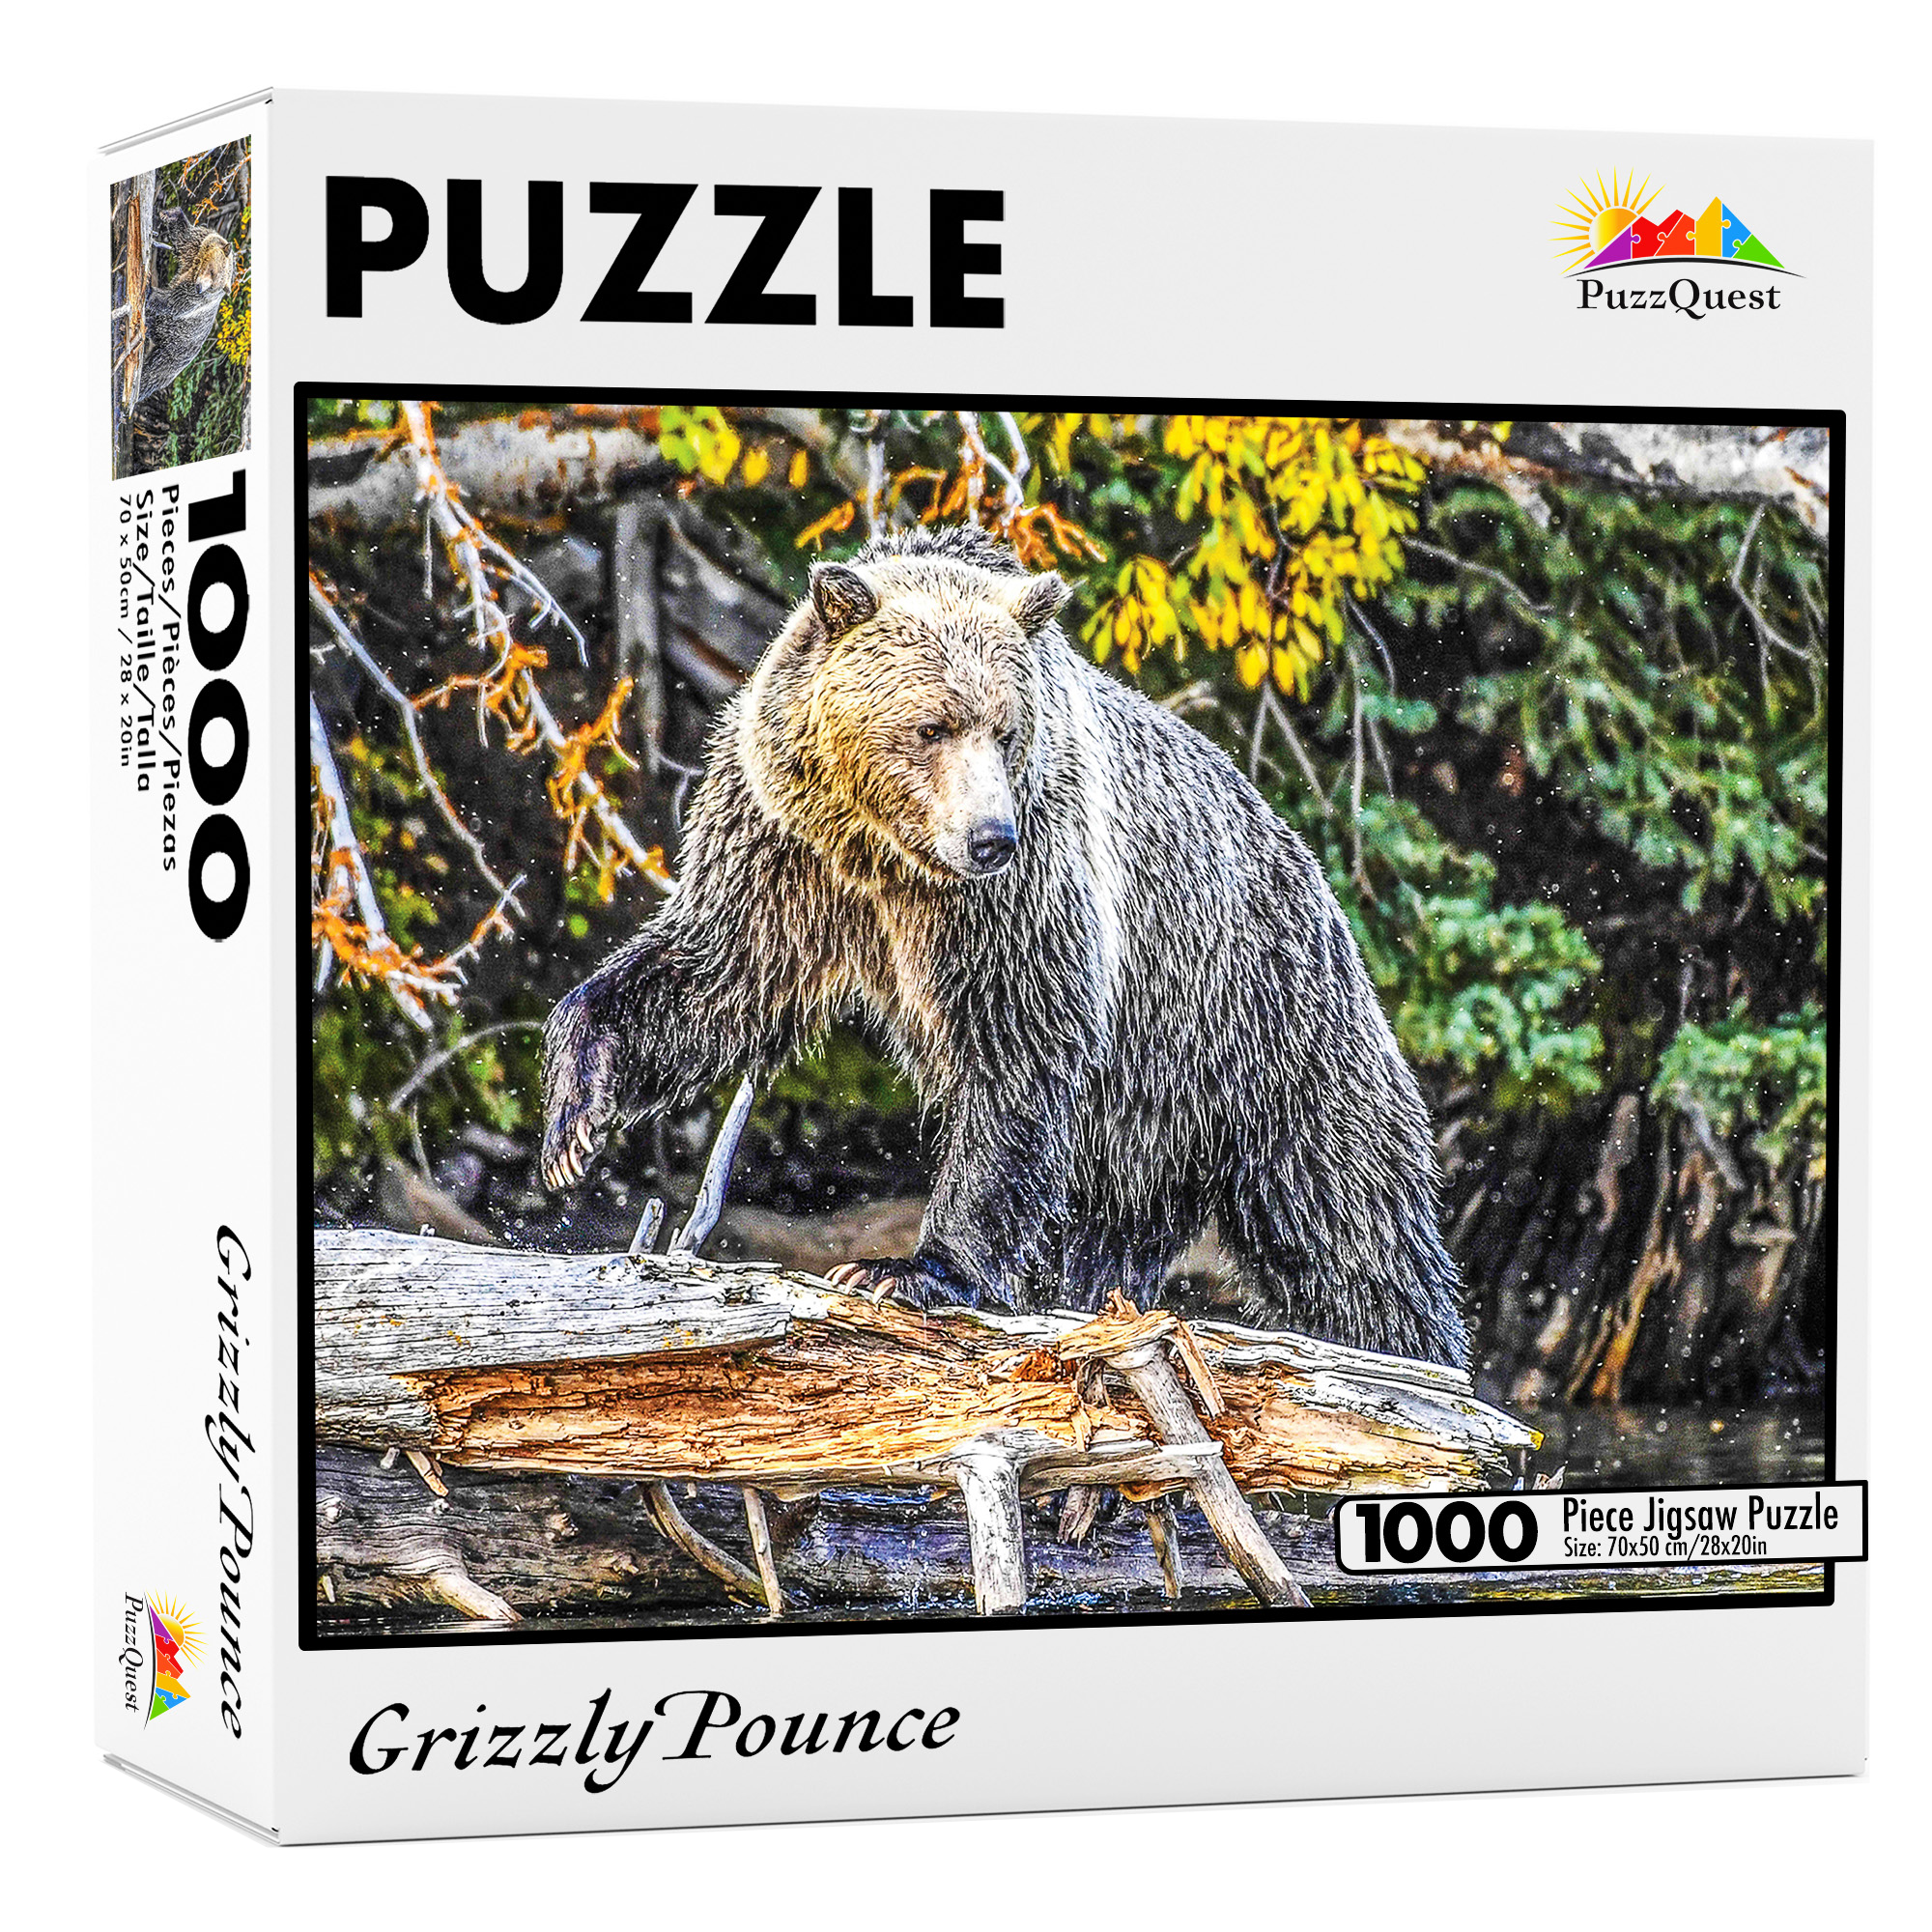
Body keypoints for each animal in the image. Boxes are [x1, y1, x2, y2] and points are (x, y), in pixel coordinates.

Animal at [542, 524, 1467, 1369]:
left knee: (1355, 1231)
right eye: (932, 726)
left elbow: (1017, 1053)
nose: (992, 837)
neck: (885, 858)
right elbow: (717, 970)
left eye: (1006, 729)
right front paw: (574, 1120)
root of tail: (1315, 875)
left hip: (1263, 1038)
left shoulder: (1023, 899)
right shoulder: (783, 848)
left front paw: (911, 1270)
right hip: (1151, 1124)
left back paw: (1426, 1364)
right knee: (1112, 1239)